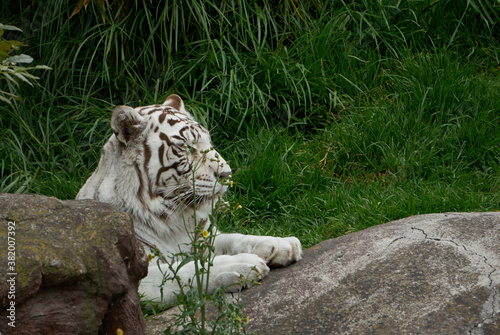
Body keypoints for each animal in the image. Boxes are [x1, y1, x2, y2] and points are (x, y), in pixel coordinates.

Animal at [76, 94, 302, 308]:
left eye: (209, 142)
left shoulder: (200, 238)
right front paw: (241, 265)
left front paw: (282, 244)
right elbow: (184, 270)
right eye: (186, 147)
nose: (227, 174)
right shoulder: (134, 279)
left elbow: (235, 238)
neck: (172, 219)